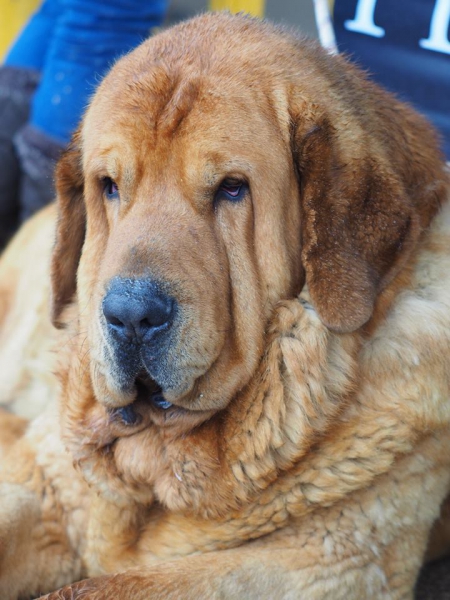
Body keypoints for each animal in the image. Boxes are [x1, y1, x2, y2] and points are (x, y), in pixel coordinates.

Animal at [0, 14, 450, 600]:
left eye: (233, 189)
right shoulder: (47, 483)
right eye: (110, 186)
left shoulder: (326, 559)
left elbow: (105, 586)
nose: (130, 315)